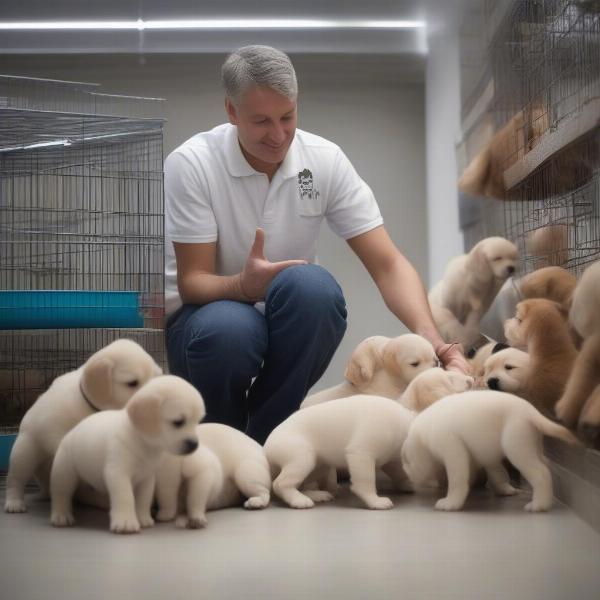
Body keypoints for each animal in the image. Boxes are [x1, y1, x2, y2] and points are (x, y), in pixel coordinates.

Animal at [49, 376, 204, 536]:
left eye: (197, 422)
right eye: (178, 422)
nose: (194, 445)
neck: (142, 442)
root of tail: (71, 432)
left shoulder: (146, 479)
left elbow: (143, 499)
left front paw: (142, 518)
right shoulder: (118, 474)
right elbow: (126, 497)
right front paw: (126, 522)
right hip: (64, 474)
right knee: (61, 495)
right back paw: (61, 516)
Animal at [264, 396, 414, 508]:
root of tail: (266, 447)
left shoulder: (392, 457)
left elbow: (397, 471)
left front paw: (407, 483)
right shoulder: (361, 453)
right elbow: (366, 480)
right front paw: (375, 501)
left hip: (320, 466)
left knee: (303, 482)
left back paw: (316, 495)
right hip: (302, 456)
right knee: (281, 483)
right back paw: (299, 500)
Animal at [400, 392, 580, 512]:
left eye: (406, 463)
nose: (407, 475)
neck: (423, 433)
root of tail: (531, 412)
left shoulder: (452, 448)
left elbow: (458, 479)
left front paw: (450, 503)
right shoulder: (484, 453)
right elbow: (496, 472)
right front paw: (505, 489)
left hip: (516, 445)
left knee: (541, 473)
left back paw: (539, 505)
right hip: (534, 445)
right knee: (545, 464)